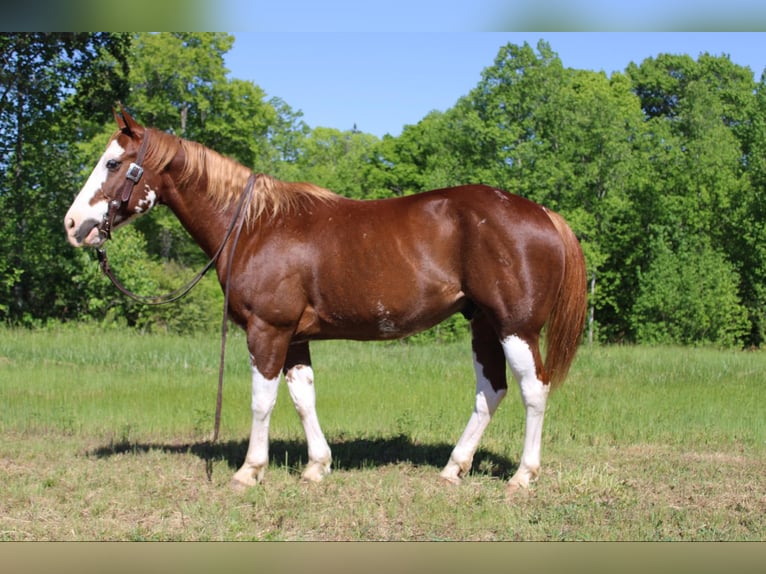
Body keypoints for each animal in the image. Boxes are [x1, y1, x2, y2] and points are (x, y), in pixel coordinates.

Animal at [64, 109, 588, 500]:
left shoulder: (268, 330)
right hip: (483, 325)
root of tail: (543, 214)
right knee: (490, 391)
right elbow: (303, 398)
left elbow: (262, 401)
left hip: (516, 327)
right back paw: (453, 468)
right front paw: (317, 466)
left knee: (533, 390)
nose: (73, 224)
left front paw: (249, 471)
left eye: (113, 163)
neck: (254, 225)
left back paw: (523, 476)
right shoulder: (293, 337)